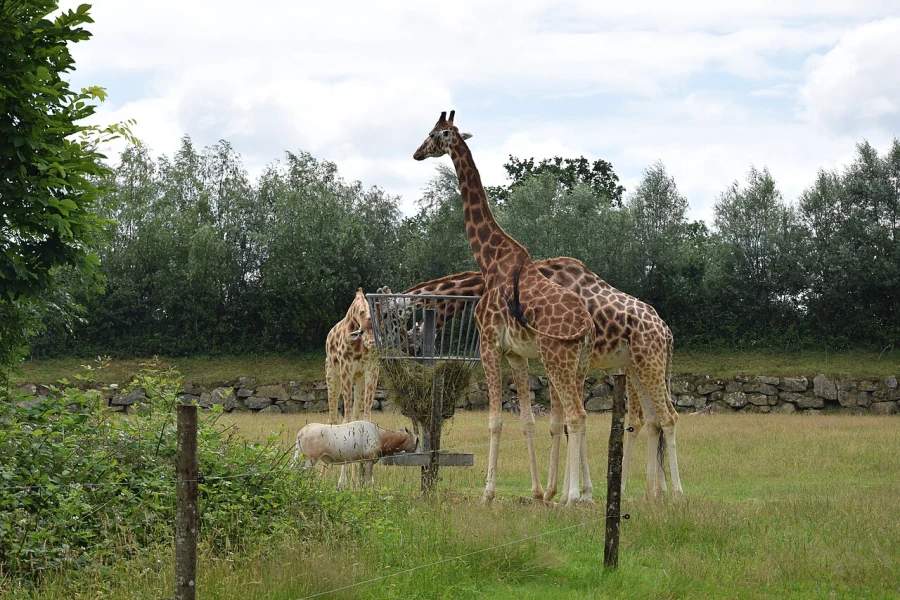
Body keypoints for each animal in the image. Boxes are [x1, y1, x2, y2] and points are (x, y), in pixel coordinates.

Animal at [401, 257, 683, 497]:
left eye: (410, 345)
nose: (416, 365)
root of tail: (666, 331)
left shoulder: (552, 358)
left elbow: (560, 424)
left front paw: (559, 493)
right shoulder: (533, 356)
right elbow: (550, 422)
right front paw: (573, 493)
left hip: (647, 363)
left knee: (664, 417)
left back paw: (672, 493)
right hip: (635, 366)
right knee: (651, 419)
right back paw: (653, 492)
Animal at [413, 111, 595, 505]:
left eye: (434, 134)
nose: (416, 153)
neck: (489, 260)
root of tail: (587, 326)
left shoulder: (488, 344)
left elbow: (495, 420)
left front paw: (488, 493)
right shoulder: (515, 353)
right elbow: (526, 419)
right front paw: (537, 491)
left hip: (556, 358)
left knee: (575, 415)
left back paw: (573, 497)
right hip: (579, 363)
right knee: (580, 415)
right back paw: (579, 493)